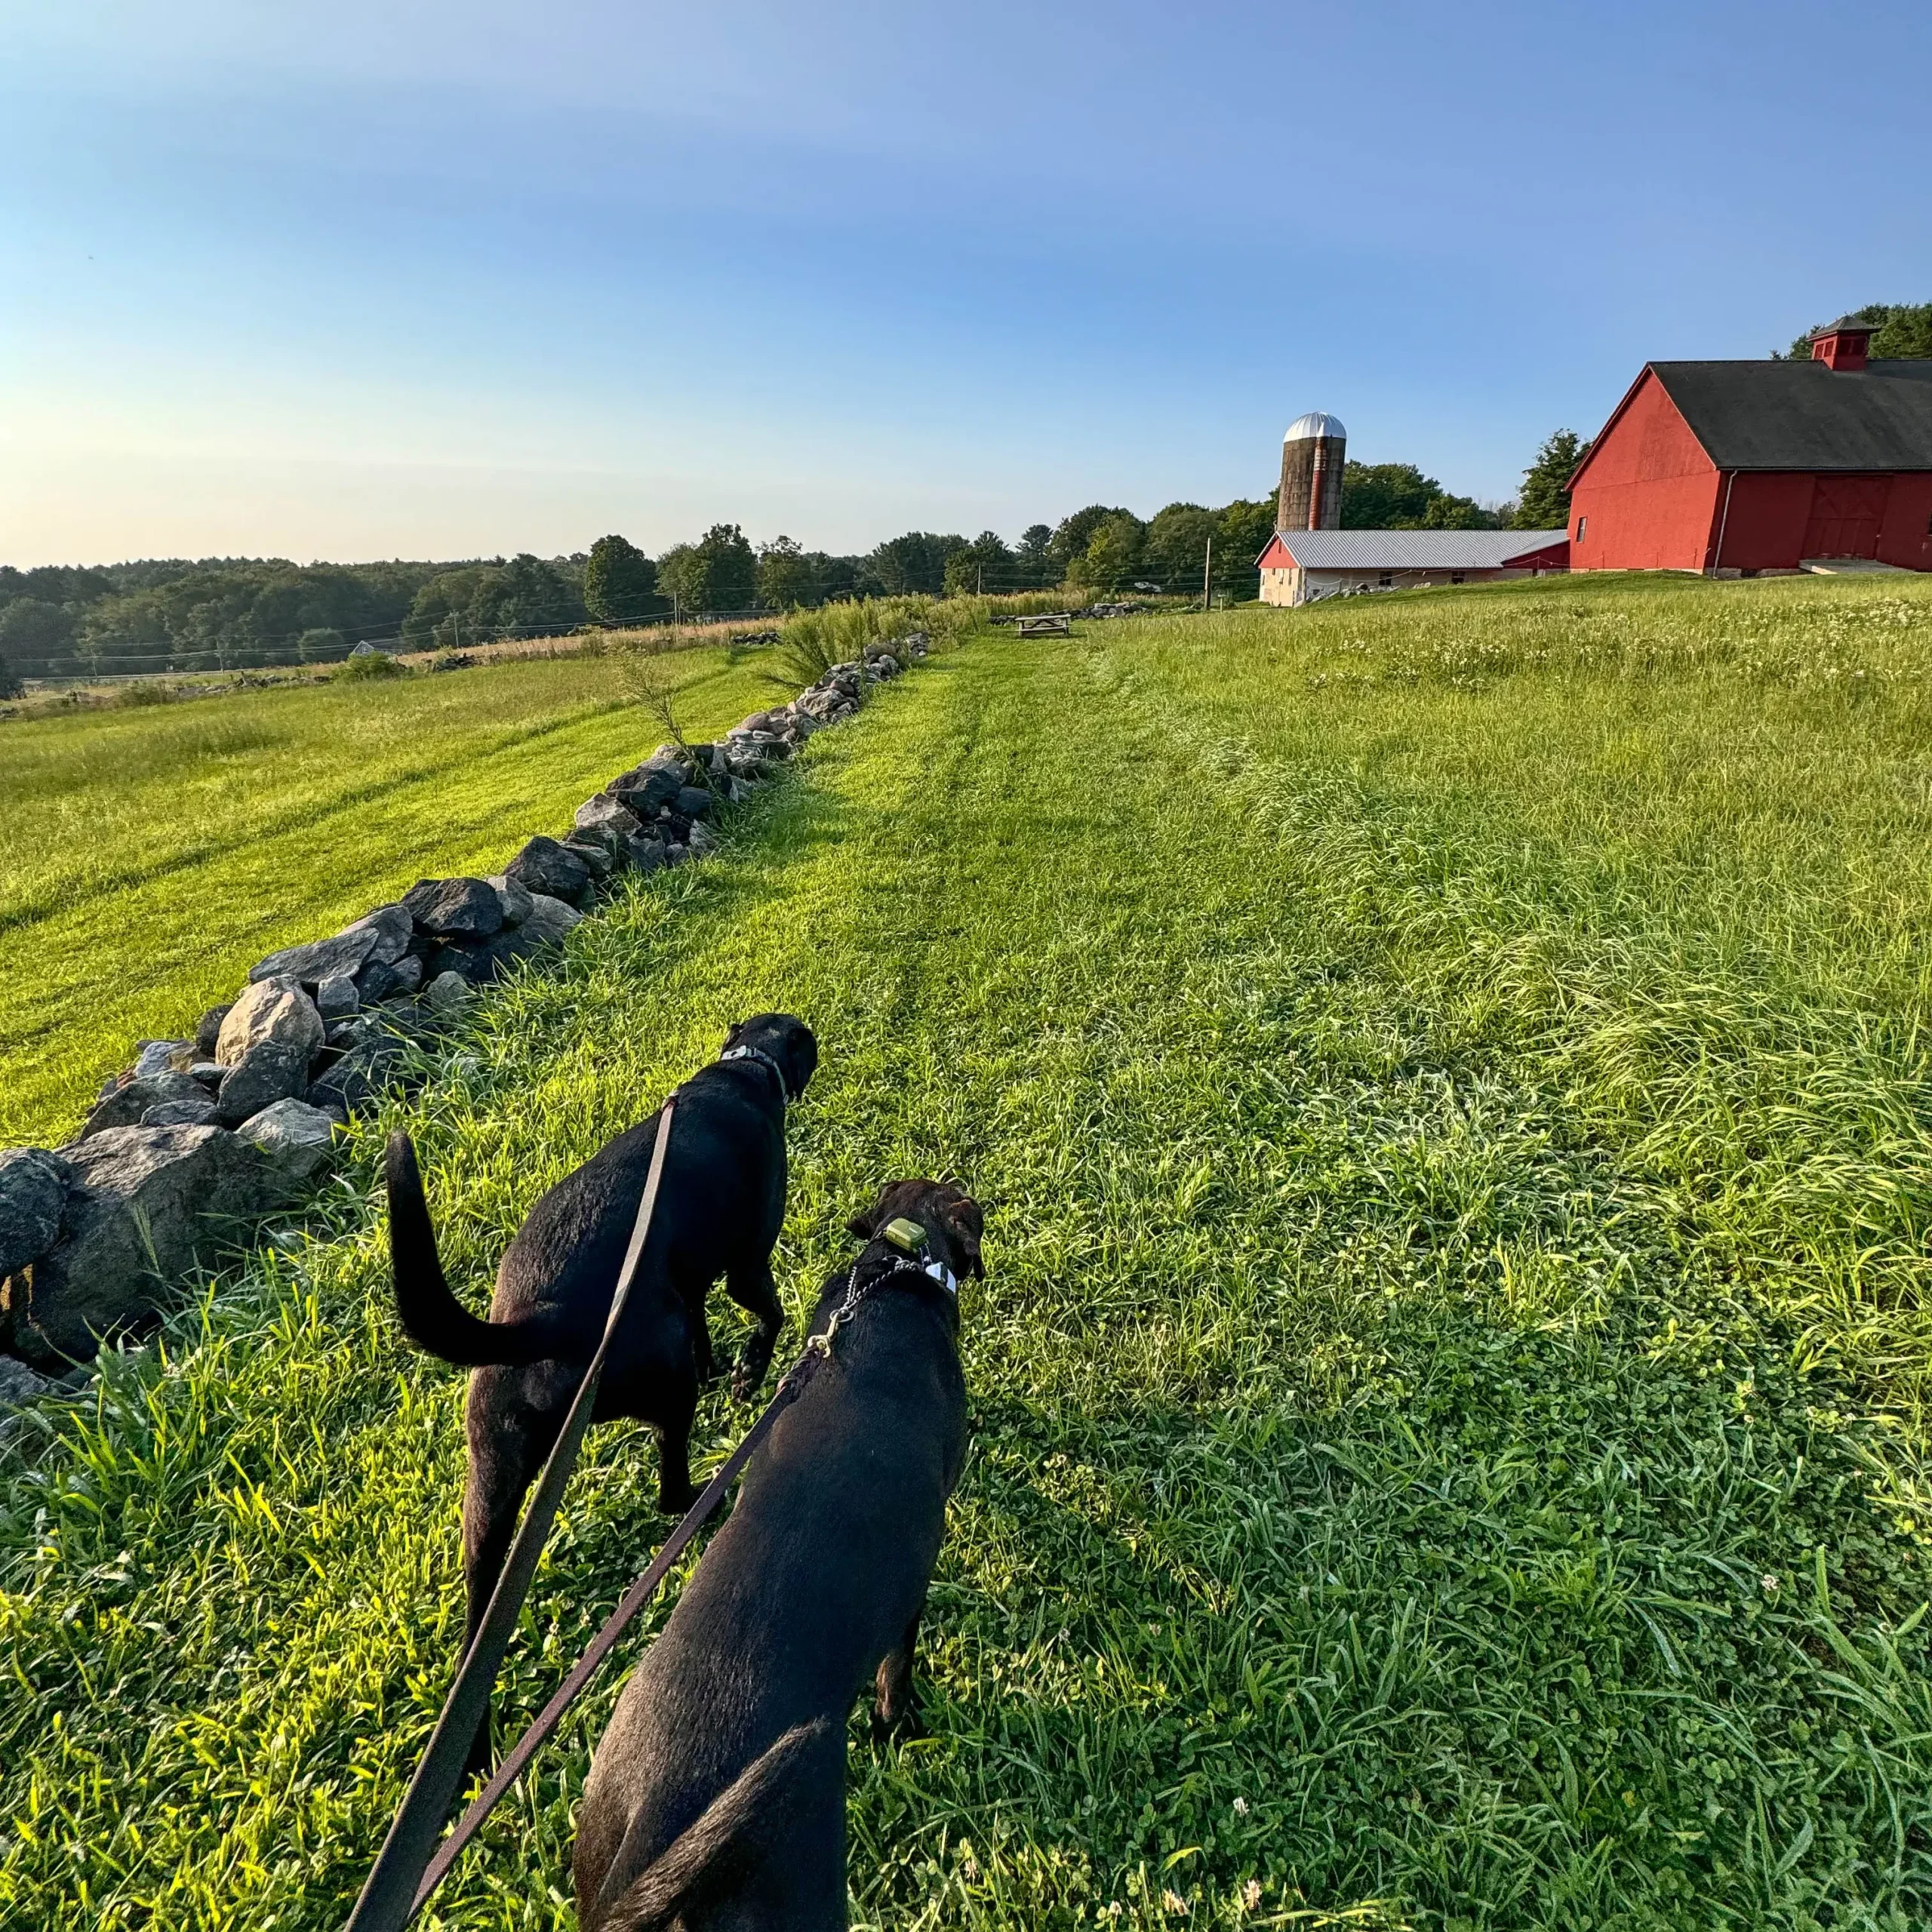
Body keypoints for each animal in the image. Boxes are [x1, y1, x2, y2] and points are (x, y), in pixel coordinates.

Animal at [384, 1020, 815, 1769]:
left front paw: (721, 1366)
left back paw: (472, 1749)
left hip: (489, 1492)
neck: (741, 1071)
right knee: (671, 1487)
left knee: (475, 1636)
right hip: (664, 1384)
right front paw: (749, 1373)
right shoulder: (746, 1265)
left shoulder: (686, 1286)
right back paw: (706, 1499)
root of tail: (539, 1318)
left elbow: (705, 1324)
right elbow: (770, 1316)